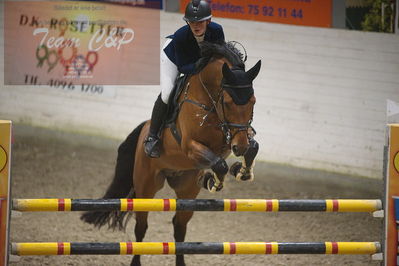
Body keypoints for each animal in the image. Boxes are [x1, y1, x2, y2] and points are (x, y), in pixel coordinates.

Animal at [81, 42, 262, 266]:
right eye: (227, 102)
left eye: (253, 101)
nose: (240, 147)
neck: (208, 100)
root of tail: (144, 130)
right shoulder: (190, 145)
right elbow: (219, 164)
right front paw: (216, 181)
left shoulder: (230, 140)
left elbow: (251, 147)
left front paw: (241, 170)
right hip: (146, 186)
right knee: (141, 227)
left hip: (187, 189)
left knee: (179, 227)